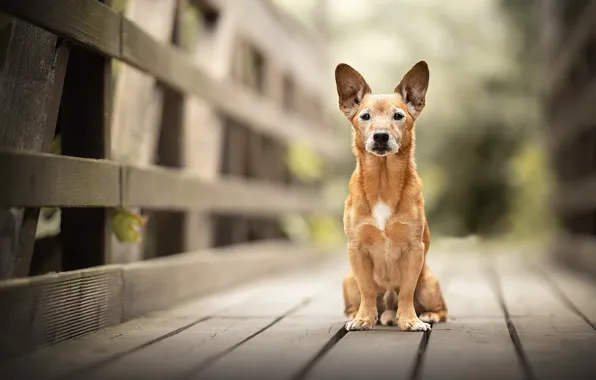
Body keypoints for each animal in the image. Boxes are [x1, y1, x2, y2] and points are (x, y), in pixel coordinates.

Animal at [336, 60, 448, 332]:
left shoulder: (414, 250)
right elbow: (367, 290)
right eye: (365, 116)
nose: (380, 136)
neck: (382, 181)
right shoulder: (357, 250)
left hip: (429, 282)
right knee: (360, 300)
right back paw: (359, 314)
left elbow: (406, 291)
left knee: (442, 308)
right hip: (348, 279)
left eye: (398, 116)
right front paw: (363, 319)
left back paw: (428, 314)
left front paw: (409, 320)